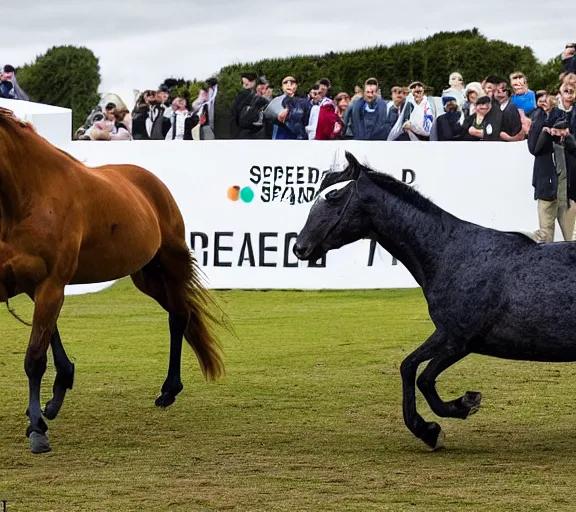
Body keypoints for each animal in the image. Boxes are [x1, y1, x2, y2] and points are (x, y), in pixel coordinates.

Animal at [0, 107, 230, 452]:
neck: (28, 196)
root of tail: (152, 184)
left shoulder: (51, 285)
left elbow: (35, 357)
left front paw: (38, 429)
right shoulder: (28, 285)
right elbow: (49, 339)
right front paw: (50, 402)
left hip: (168, 267)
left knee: (179, 317)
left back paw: (169, 389)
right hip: (146, 276)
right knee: (180, 315)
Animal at [292, 150, 576, 450]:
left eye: (334, 196)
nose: (300, 248)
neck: (448, 253)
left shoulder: (459, 340)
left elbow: (423, 377)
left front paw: (457, 409)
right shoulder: (449, 335)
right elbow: (409, 367)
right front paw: (430, 427)